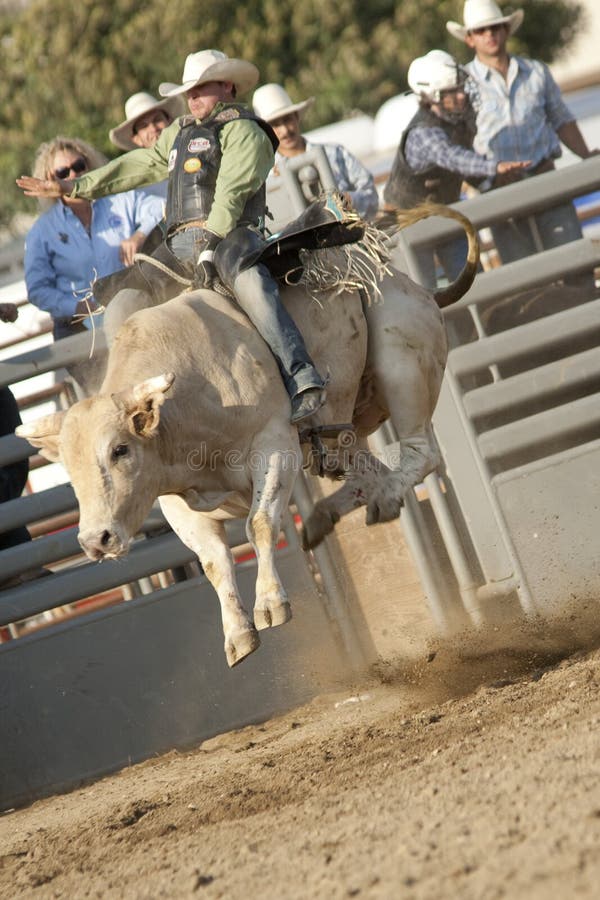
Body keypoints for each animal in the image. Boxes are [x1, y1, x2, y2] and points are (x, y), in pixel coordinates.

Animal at [17, 206, 478, 668]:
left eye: (119, 449)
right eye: (69, 469)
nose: (96, 540)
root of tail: (415, 287)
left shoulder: (273, 446)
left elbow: (260, 523)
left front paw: (271, 604)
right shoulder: (171, 496)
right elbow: (213, 561)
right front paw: (237, 634)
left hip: (401, 358)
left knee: (421, 454)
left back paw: (381, 497)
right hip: (341, 431)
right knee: (372, 470)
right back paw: (331, 514)